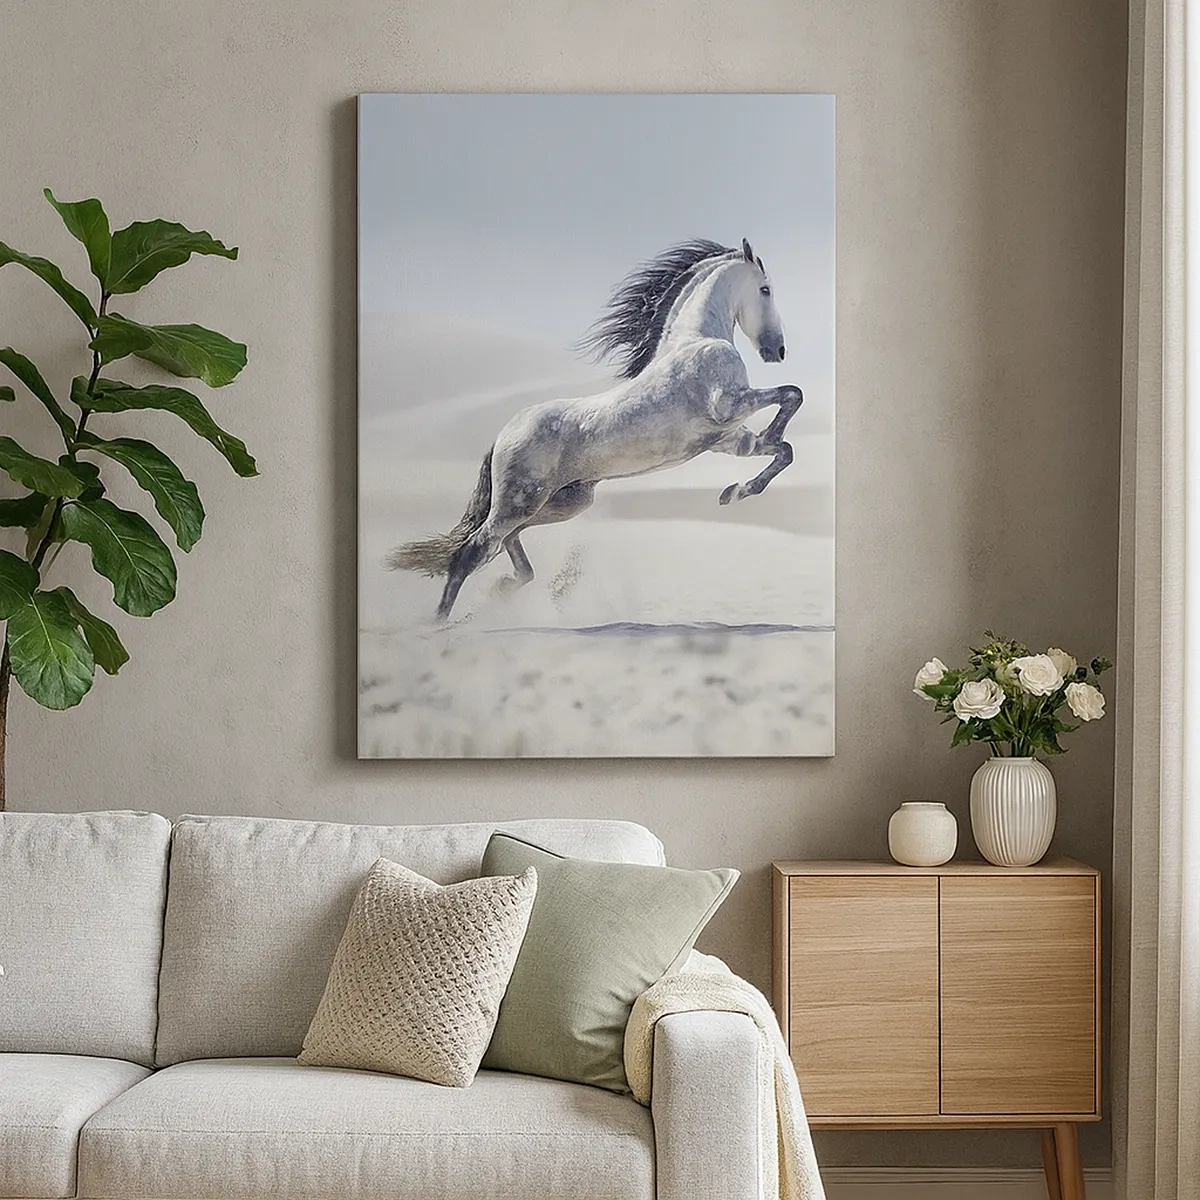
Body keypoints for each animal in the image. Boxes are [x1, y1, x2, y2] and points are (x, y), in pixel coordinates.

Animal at [386, 237, 804, 621]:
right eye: (766, 289)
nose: (778, 351)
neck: (697, 341)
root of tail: (503, 435)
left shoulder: (726, 438)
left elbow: (783, 449)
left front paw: (735, 491)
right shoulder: (729, 404)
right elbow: (792, 395)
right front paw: (746, 476)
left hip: (563, 502)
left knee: (507, 542)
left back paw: (501, 591)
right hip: (520, 501)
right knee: (473, 550)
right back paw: (441, 625)